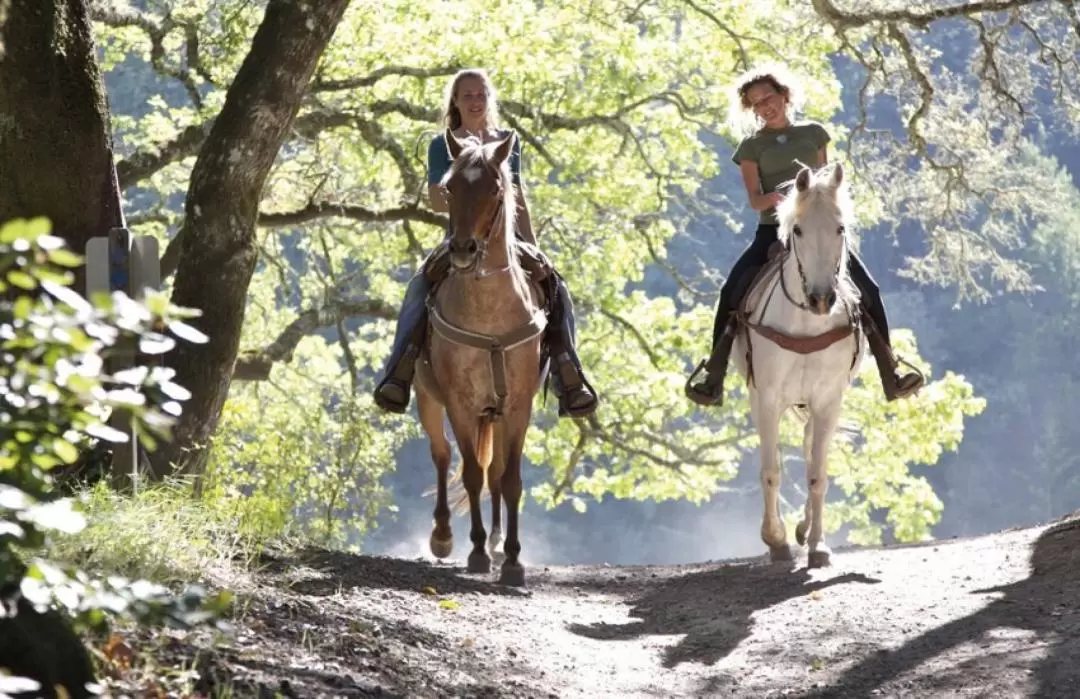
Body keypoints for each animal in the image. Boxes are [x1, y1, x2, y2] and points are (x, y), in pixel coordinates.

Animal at [412, 128, 548, 587]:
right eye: (450, 188)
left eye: (495, 189)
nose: (463, 250)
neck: (489, 315)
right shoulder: (460, 402)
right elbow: (470, 473)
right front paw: (475, 553)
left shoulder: (519, 406)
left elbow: (510, 480)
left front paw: (512, 560)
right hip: (428, 399)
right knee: (441, 455)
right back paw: (443, 537)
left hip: (497, 414)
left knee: (496, 473)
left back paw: (496, 540)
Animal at [730, 163, 864, 570]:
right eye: (799, 230)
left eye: (840, 228)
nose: (821, 299)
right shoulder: (767, 397)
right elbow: (771, 471)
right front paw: (775, 540)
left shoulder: (828, 400)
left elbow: (817, 474)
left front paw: (818, 546)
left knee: (808, 452)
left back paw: (804, 529)